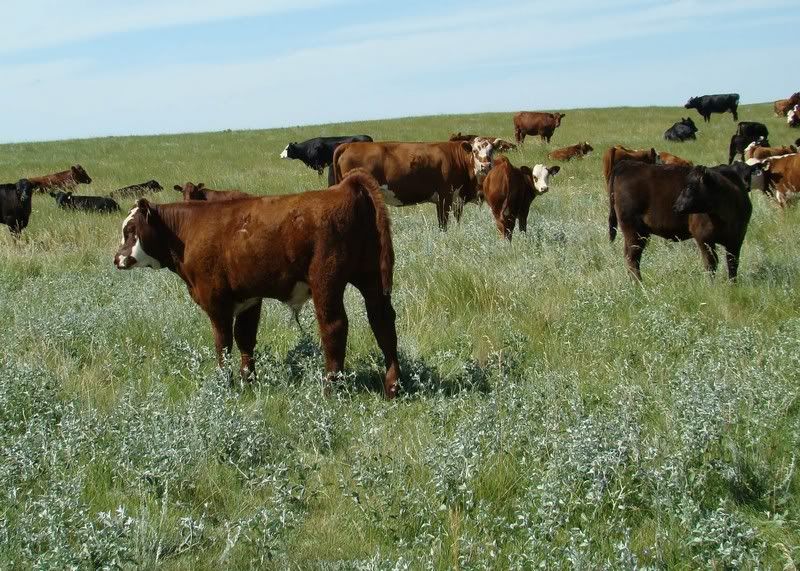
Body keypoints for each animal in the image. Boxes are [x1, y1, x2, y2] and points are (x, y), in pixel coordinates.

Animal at [114, 169, 401, 398]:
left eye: (130, 230)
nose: (117, 259)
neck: (187, 230)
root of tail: (344, 188)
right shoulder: (249, 299)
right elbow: (245, 338)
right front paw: (247, 379)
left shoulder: (215, 301)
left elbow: (223, 343)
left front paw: (225, 382)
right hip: (373, 280)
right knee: (383, 323)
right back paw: (392, 386)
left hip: (326, 282)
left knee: (334, 327)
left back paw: (330, 388)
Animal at [332, 139, 496, 230]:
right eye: (475, 151)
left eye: (492, 151)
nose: (486, 166)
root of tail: (349, 146)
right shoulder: (445, 197)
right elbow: (443, 223)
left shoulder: (455, 199)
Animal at [608, 161, 752, 281]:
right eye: (687, 186)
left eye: (749, 175)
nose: (676, 206)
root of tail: (626, 165)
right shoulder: (703, 237)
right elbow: (711, 263)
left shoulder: (737, 238)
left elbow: (732, 262)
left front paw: (733, 284)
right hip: (634, 231)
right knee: (633, 258)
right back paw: (639, 284)